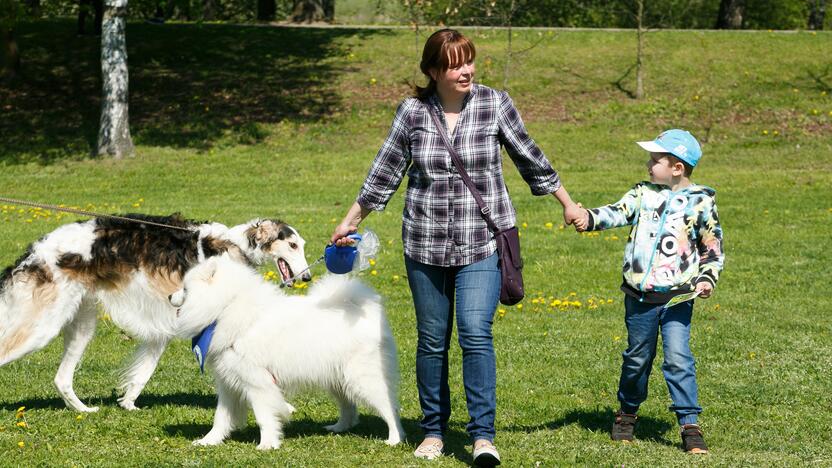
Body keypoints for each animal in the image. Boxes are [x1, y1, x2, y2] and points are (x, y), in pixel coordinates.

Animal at [0, 214, 310, 412]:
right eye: (293, 245)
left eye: (302, 246)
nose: (307, 277)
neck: (235, 246)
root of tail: (34, 253)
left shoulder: (167, 323)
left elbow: (143, 371)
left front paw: (128, 403)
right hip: (41, 328)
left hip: (81, 324)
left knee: (61, 379)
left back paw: (84, 410)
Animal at [169, 254, 404, 452]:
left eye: (185, 289)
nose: (170, 295)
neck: (226, 307)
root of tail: (366, 311)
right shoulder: (229, 383)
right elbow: (221, 418)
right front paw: (208, 441)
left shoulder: (257, 383)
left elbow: (264, 417)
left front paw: (267, 445)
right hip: (337, 378)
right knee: (349, 407)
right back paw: (339, 428)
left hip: (363, 379)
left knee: (389, 407)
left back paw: (394, 439)